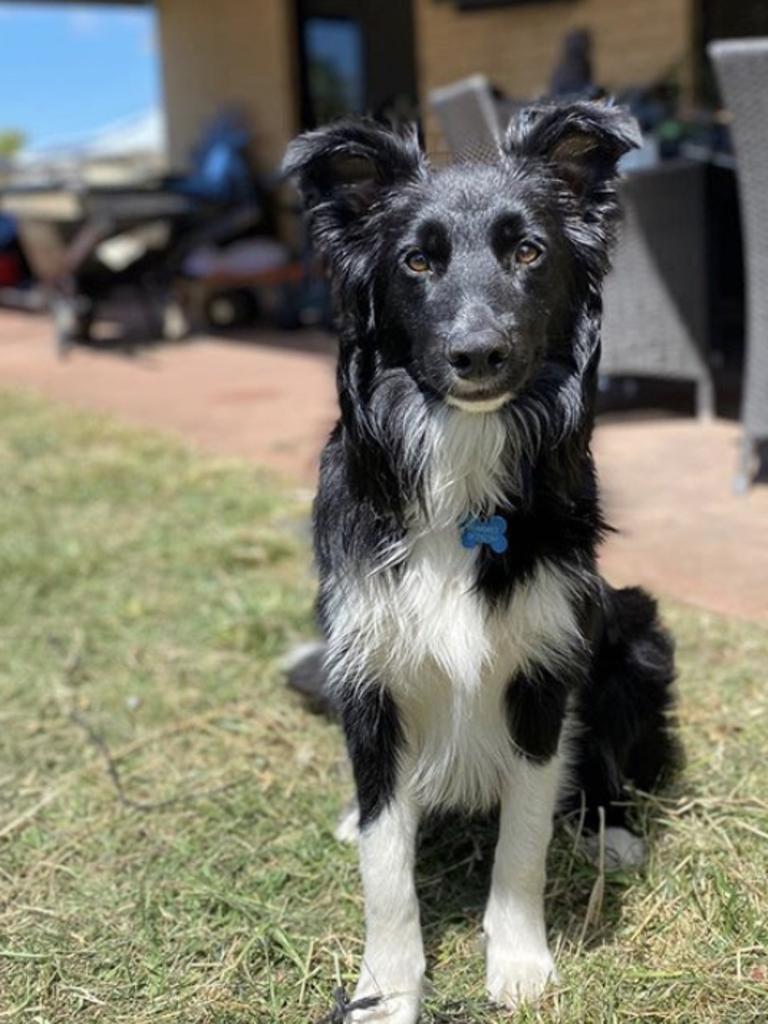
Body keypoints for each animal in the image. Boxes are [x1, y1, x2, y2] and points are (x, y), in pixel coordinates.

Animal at [282, 97, 679, 1024]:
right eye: (417, 261)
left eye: (529, 252)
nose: (478, 354)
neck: (461, 461)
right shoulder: (369, 672)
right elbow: (386, 867)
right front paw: (387, 989)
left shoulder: (542, 670)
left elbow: (523, 837)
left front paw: (520, 961)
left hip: (637, 632)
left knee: (609, 766)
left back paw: (611, 831)